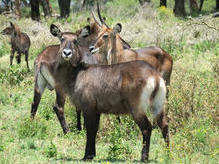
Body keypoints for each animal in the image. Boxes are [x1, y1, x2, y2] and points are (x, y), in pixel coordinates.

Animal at [51, 23, 169, 162]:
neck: (77, 72)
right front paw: (92, 154)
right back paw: (168, 154)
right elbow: (94, 130)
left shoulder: (88, 108)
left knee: (147, 128)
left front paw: (86, 156)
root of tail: (154, 75)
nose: (67, 53)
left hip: (137, 108)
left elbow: (90, 130)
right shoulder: (96, 110)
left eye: (75, 40)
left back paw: (144, 157)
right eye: (62, 38)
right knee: (164, 125)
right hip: (158, 105)